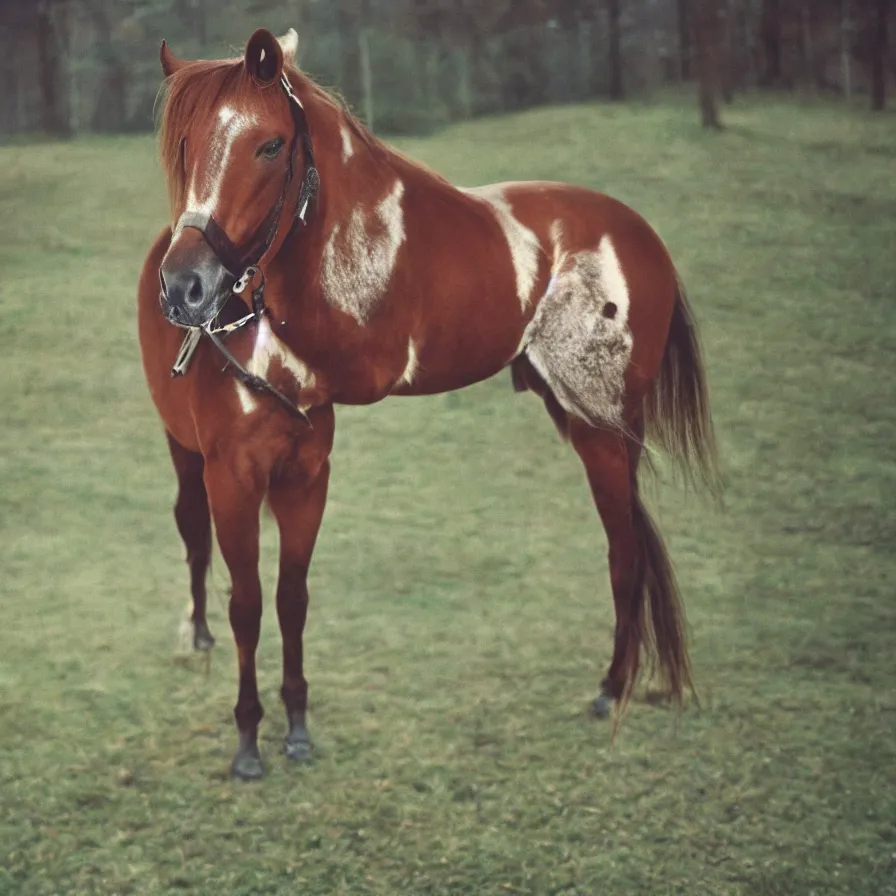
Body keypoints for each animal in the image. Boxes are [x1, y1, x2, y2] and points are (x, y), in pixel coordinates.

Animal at [140, 28, 720, 776]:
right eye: (184, 143)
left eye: (270, 146)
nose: (185, 286)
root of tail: (644, 239)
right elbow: (263, 591)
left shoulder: (351, 388)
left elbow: (272, 593)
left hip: (600, 428)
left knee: (625, 552)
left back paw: (611, 688)